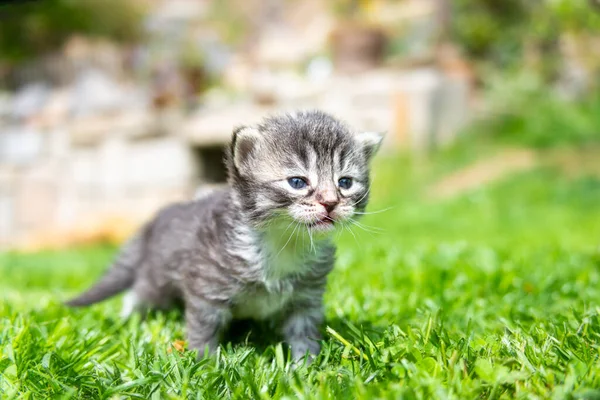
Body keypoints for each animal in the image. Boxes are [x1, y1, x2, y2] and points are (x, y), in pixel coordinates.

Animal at [65, 110, 382, 362]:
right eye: (297, 182)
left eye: (345, 182)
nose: (330, 202)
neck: (283, 243)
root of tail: (155, 222)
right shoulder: (207, 286)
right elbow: (203, 327)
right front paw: (205, 362)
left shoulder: (306, 296)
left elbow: (303, 332)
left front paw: (305, 366)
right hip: (156, 278)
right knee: (139, 292)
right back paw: (129, 319)